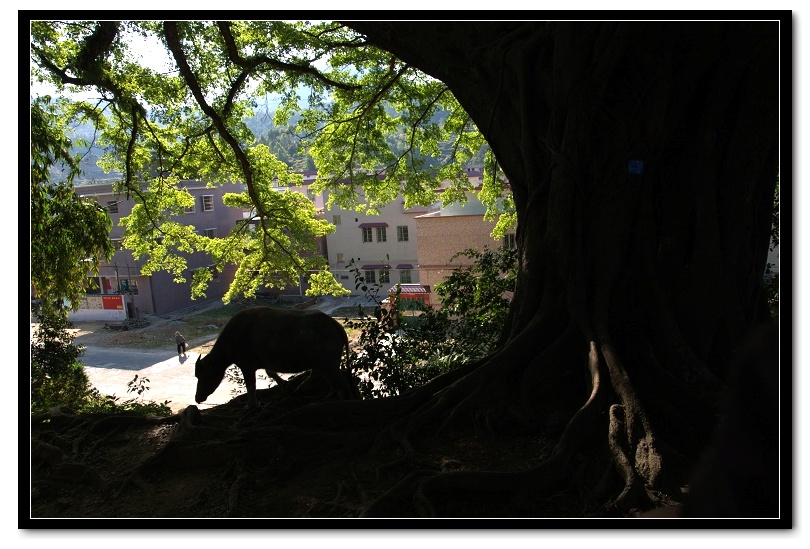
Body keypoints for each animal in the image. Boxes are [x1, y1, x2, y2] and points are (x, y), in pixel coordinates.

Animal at [194, 306, 356, 404]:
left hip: (328, 365)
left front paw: (251, 406)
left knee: (341, 384)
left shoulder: (247, 366)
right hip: (325, 365)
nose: (197, 398)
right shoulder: (265, 362)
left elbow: (251, 386)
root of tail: (335, 325)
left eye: (202, 374)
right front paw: (285, 385)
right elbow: (270, 372)